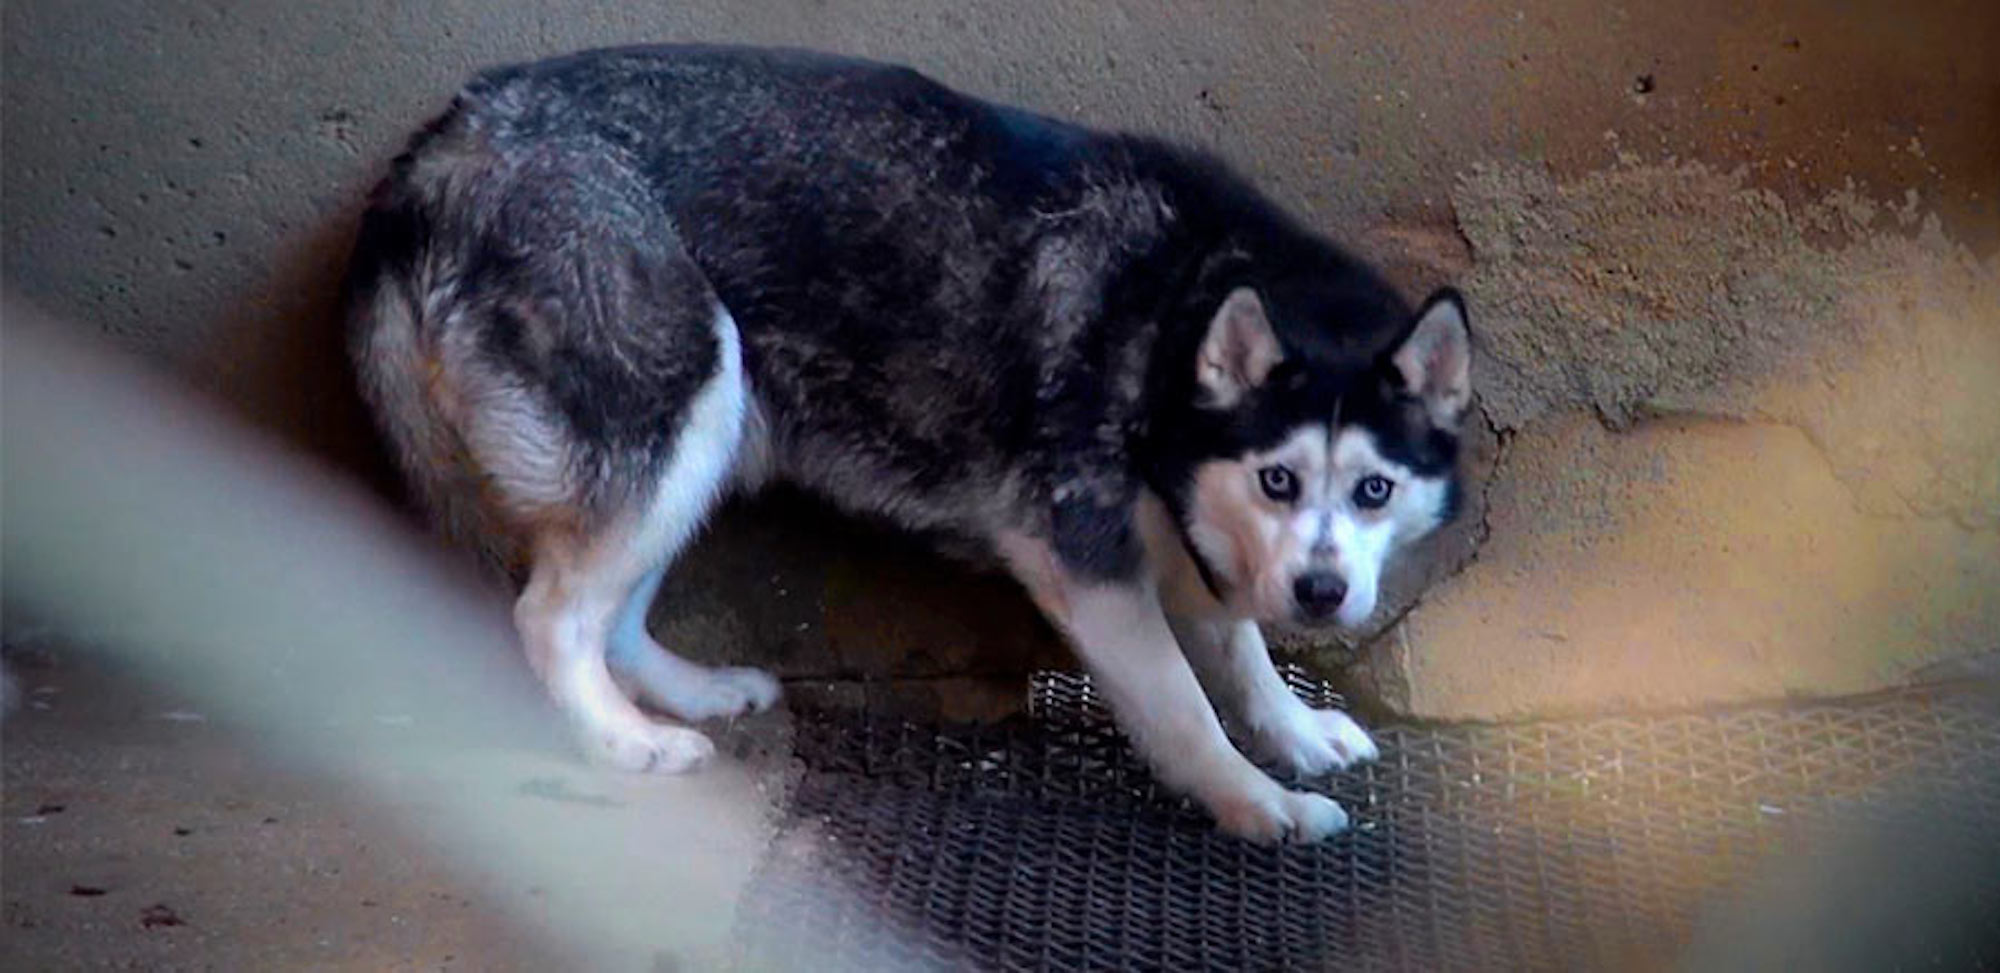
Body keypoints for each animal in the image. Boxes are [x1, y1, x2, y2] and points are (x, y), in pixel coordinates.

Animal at [344, 43, 1472, 844]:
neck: (1175, 308)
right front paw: (1253, 800)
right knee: (552, 617)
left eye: (1373, 491)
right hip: (683, 391)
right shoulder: (1083, 562)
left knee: (609, 617)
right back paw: (620, 740)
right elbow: (1186, 705)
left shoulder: (1189, 536)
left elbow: (1240, 654)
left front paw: (1292, 731)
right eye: (1278, 479)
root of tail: (447, 143)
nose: (1322, 593)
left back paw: (690, 693)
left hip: (707, 425)